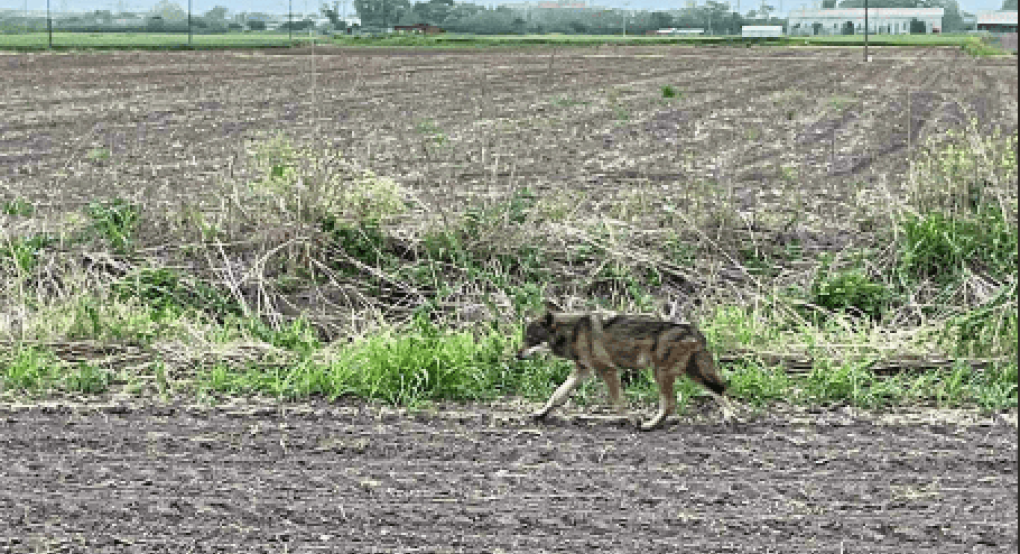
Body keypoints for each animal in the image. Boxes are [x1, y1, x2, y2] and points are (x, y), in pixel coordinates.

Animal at [514, 301, 738, 430]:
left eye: (531, 339)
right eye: (525, 338)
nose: (517, 355)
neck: (573, 332)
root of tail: (694, 331)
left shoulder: (608, 370)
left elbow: (618, 403)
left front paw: (630, 420)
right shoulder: (582, 371)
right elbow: (557, 395)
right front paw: (540, 414)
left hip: (662, 373)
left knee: (670, 405)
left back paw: (648, 425)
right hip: (691, 374)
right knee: (719, 390)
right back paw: (730, 418)